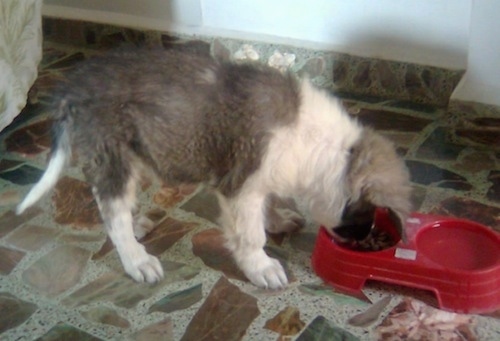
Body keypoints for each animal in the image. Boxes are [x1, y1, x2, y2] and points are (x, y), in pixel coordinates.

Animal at [17, 46, 412, 288]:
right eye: (368, 210)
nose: (365, 239)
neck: (318, 146)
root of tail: (69, 89)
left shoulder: (261, 179)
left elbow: (267, 205)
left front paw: (278, 219)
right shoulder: (241, 185)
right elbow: (250, 234)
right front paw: (262, 267)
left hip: (136, 154)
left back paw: (137, 223)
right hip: (112, 156)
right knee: (112, 215)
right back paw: (137, 260)